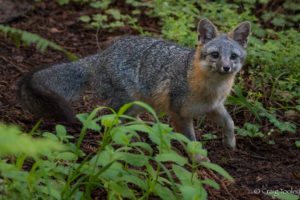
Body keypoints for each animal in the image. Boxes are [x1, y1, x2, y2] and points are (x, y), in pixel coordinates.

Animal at [18, 18, 251, 154]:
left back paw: (146, 129)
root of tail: (101, 55)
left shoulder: (213, 107)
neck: (210, 90)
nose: (226, 68)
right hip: (128, 101)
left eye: (233, 56)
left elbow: (229, 122)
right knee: (114, 123)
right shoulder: (179, 113)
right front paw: (201, 162)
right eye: (215, 55)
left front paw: (230, 143)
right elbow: (191, 141)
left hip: (138, 103)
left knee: (130, 119)